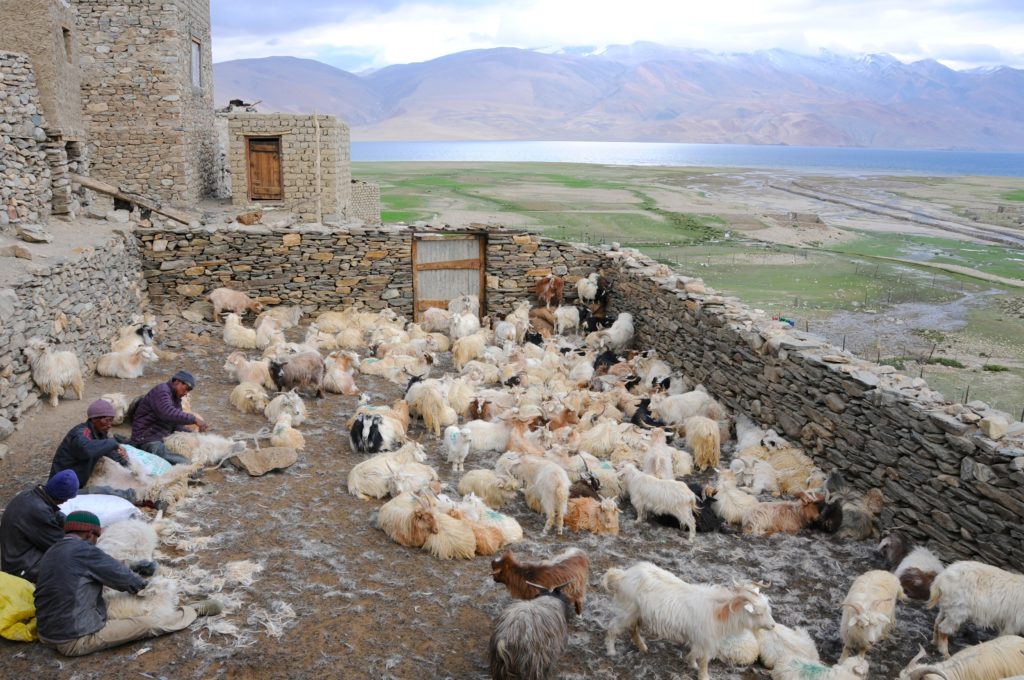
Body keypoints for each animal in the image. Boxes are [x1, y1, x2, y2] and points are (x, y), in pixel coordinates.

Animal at [598, 561, 774, 680]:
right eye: (759, 612)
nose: (772, 625)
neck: (718, 610)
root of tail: (623, 576)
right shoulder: (706, 639)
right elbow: (704, 659)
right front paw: (703, 675)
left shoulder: (699, 638)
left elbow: (695, 652)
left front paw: (691, 663)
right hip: (627, 612)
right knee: (613, 628)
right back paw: (612, 651)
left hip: (637, 614)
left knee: (633, 629)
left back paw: (643, 648)